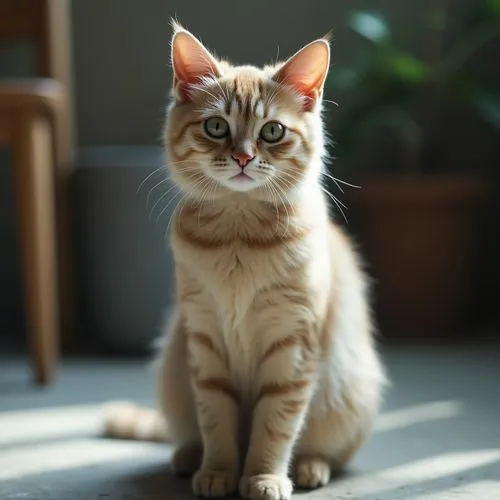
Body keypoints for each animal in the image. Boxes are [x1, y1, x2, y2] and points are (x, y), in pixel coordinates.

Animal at [104, 22, 386, 500]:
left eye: (272, 132)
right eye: (216, 126)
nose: (242, 157)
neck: (239, 237)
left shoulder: (292, 345)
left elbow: (275, 425)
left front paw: (263, 477)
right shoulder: (205, 340)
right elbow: (216, 420)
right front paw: (218, 472)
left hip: (350, 394)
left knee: (327, 452)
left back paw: (310, 468)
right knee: (187, 433)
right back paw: (187, 458)